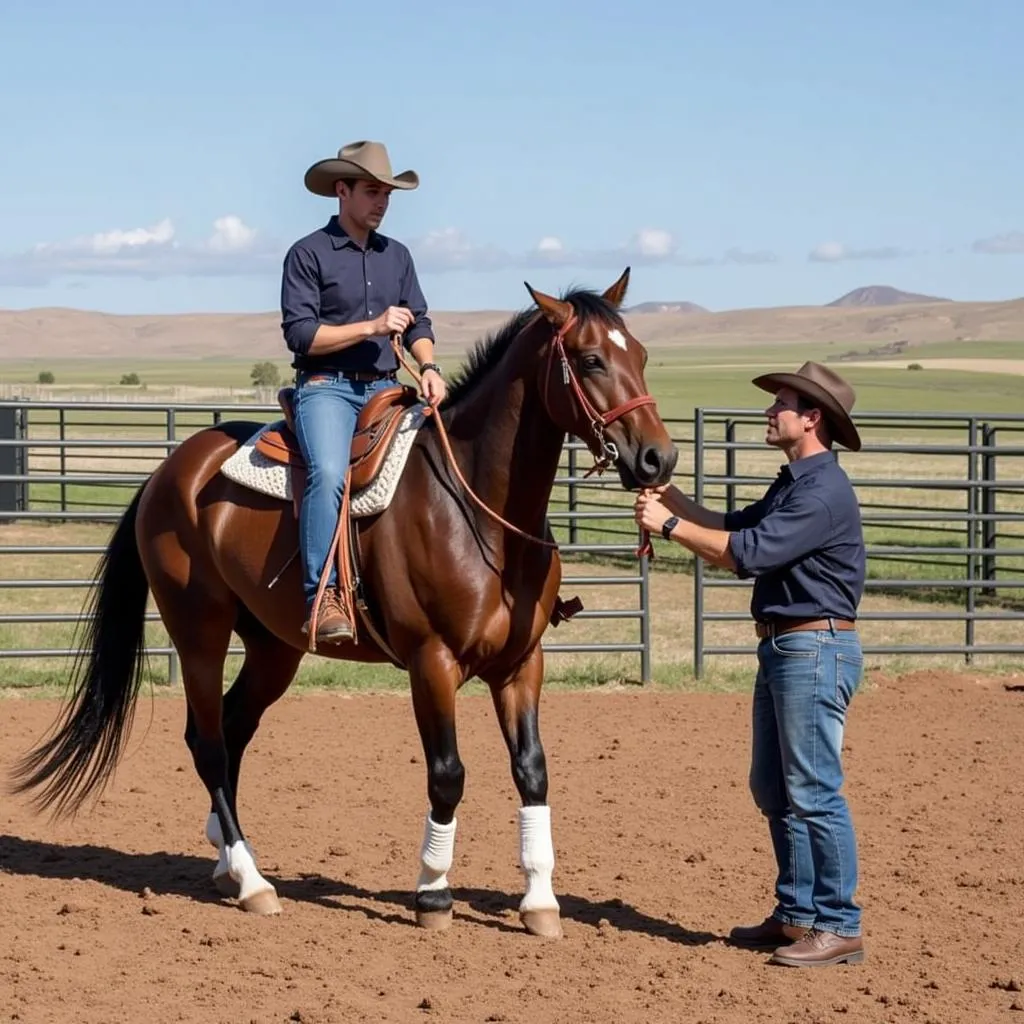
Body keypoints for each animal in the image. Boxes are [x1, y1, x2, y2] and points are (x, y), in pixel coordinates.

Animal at [12, 268, 679, 937]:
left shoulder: (521, 664)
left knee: (232, 729)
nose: (659, 458)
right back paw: (253, 883)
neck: (476, 511)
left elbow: (533, 770)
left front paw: (540, 899)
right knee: (210, 744)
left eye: (643, 356)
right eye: (591, 359)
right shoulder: (431, 663)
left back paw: (227, 858)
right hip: (199, 632)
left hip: (274, 649)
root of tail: (167, 473)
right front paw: (432, 892)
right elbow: (447, 775)